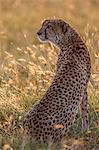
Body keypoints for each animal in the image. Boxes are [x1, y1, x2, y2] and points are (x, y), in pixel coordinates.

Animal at [22, 19, 91, 149]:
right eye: (43, 25)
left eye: (49, 27)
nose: (38, 33)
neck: (69, 39)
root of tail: (32, 134)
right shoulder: (84, 87)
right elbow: (84, 110)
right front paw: (86, 130)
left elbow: (84, 110)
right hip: (69, 113)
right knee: (57, 140)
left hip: (28, 113)